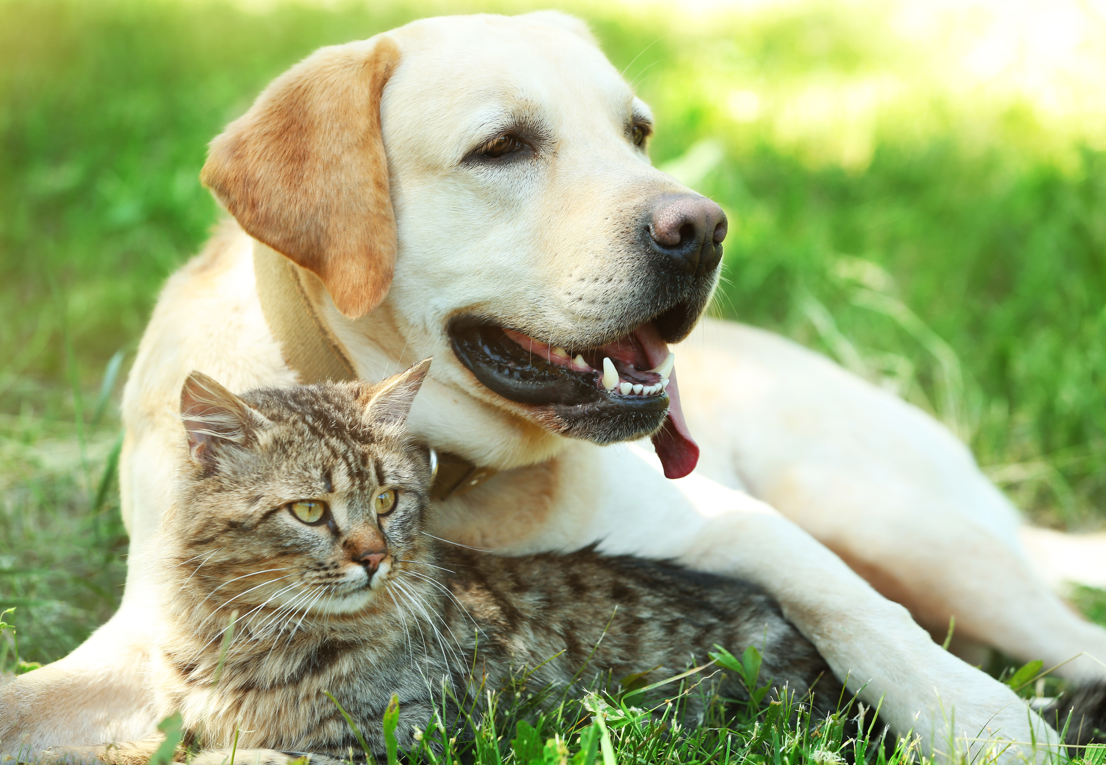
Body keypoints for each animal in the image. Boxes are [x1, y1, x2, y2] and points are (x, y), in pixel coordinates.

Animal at [45, 360, 853, 764]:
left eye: (388, 500)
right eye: (309, 512)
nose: (373, 557)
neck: (244, 635)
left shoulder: (371, 745)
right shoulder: (182, 722)